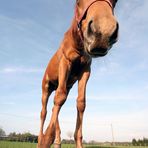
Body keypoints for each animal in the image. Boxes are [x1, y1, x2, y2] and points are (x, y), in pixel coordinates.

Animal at [37, 0, 119, 148]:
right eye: (77, 2)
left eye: (115, 1)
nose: (103, 31)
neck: (78, 45)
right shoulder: (65, 62)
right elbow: (59, 98)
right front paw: (46, 140)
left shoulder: (85, 70)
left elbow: (80, 103)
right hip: (46, 87)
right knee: (44, 111)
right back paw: (41, 139)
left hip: (66, 85)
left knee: (54, 107)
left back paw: (57, 142)